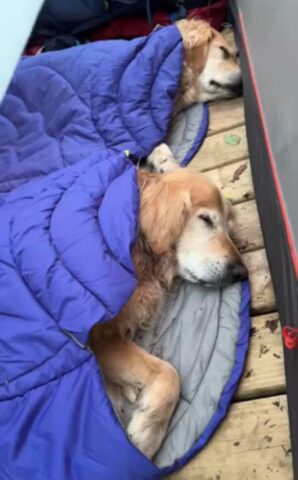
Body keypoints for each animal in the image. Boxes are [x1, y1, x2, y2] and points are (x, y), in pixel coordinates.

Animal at [90, 167, 247, 460]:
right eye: (206, 219)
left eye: (229, 228)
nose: (241, 272)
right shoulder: (95, 332)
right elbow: (170, 373)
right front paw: (147, 434)